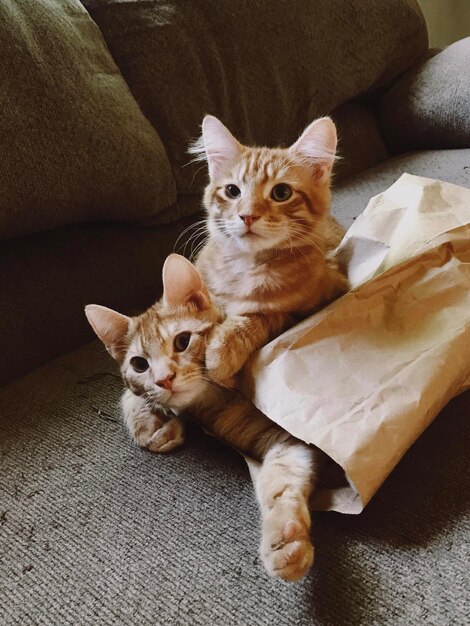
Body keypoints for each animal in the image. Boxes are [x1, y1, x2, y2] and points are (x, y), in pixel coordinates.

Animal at [85, 255, 326, 580]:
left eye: (182, 341)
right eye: (139, 364)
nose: (163, 379)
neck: (211, 402)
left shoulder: (290, 432)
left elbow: (280, 473)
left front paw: (284, 535)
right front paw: (152, 427)